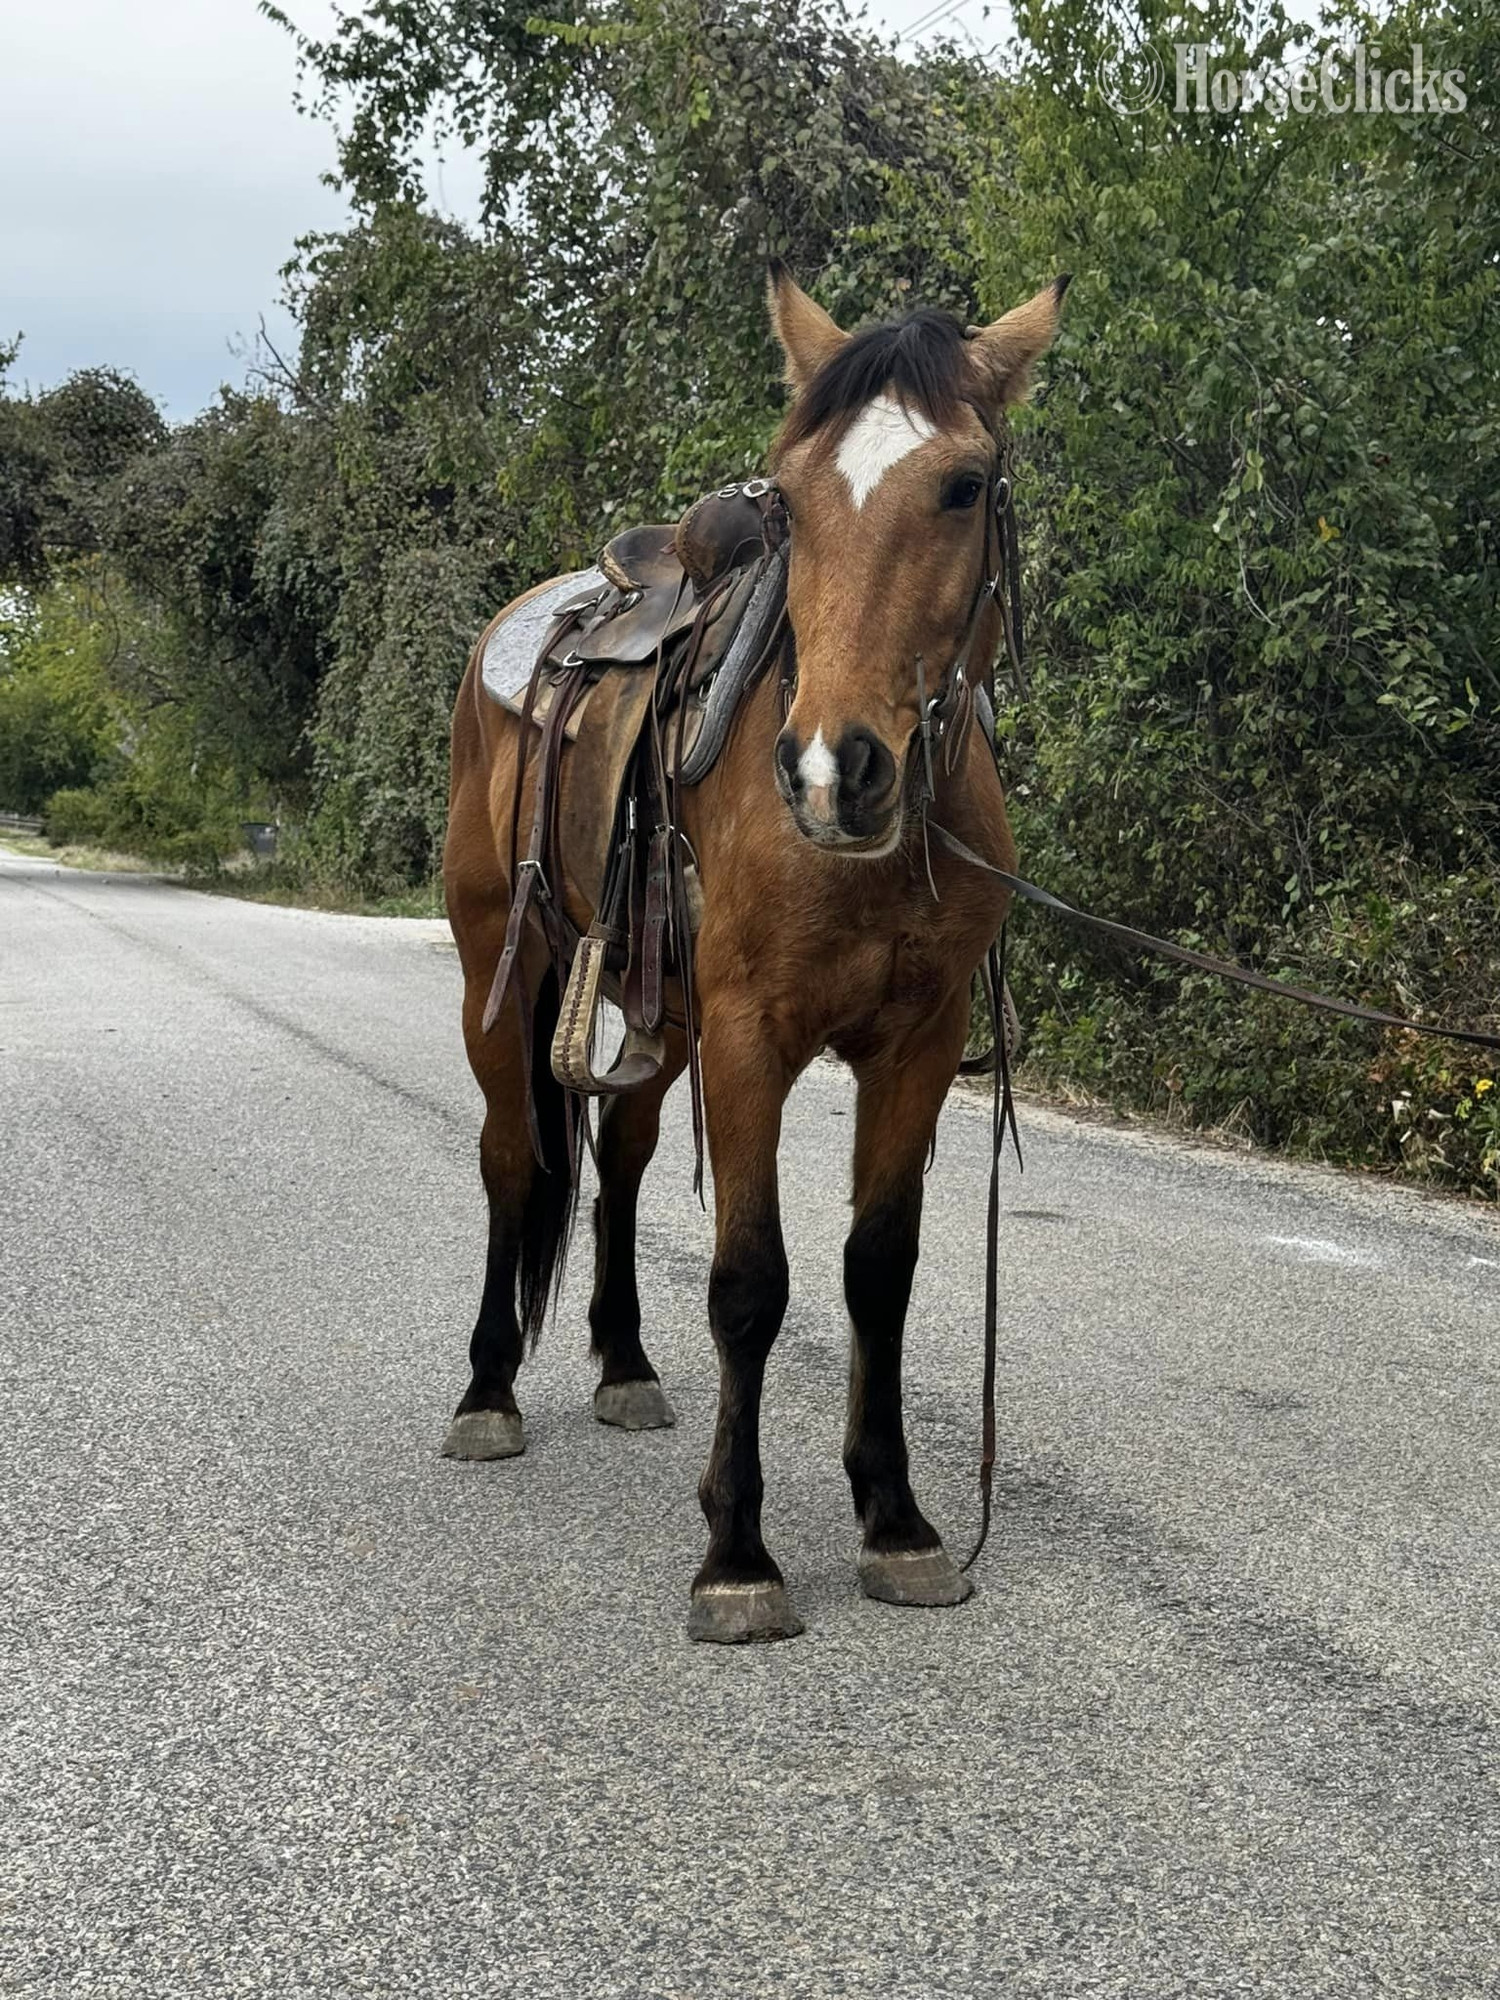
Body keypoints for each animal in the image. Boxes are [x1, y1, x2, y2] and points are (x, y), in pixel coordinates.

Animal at [441, 265, 1067, 1642]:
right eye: (790, 494)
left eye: (965, 485)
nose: (836, 769)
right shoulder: (750, 1038)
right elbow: (750, 1283)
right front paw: (737, 1551)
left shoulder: (918, 1044)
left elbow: (878, 1269)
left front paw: (897, 1520)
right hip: (497, 975)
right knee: (515, 1162)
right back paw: (488, 1391)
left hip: (656, 1012)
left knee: (618, 1165)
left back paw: (624, 1361)